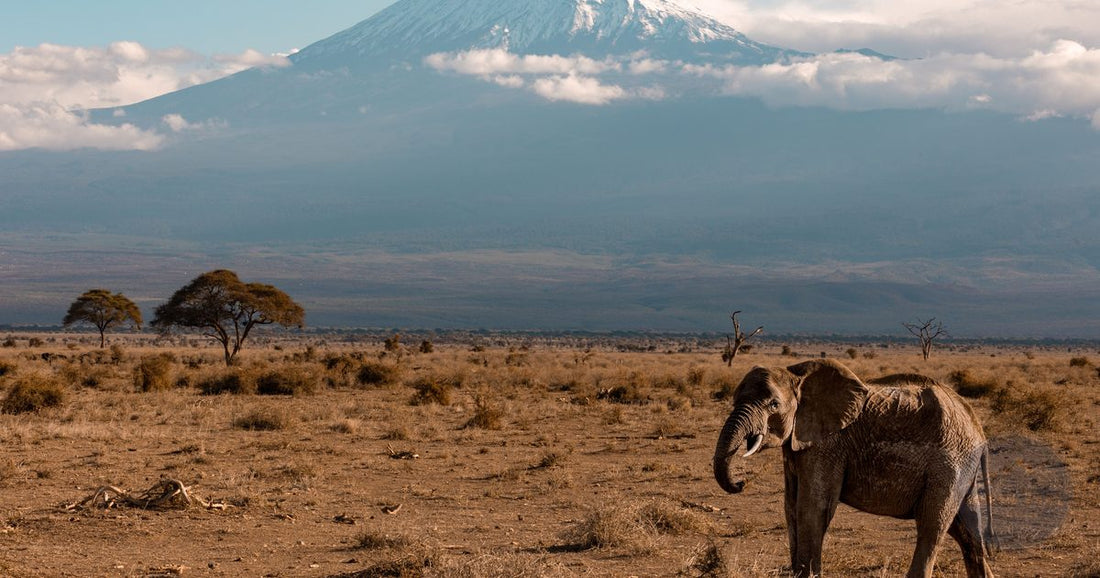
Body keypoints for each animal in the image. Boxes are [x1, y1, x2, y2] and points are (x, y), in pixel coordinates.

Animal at [712, 359, 994, 578]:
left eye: (773, 405)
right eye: (735, 399)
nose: (741, 483)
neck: (797, 375)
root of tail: (977, 427)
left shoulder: (828, 444)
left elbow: (812, 507)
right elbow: (790, 506)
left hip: (950, 462)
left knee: (932, 525)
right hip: (961, 466)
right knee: (967, 532)